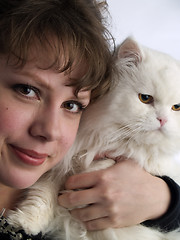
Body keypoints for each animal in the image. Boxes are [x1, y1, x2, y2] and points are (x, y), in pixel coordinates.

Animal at [7, 38, 180, 240]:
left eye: (176, 107)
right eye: (145, 98)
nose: (163, 120)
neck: (111, 139)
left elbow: (107, 164)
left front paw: (82, 184)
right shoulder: (56, 170)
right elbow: (40, 199)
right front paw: (22, 223)